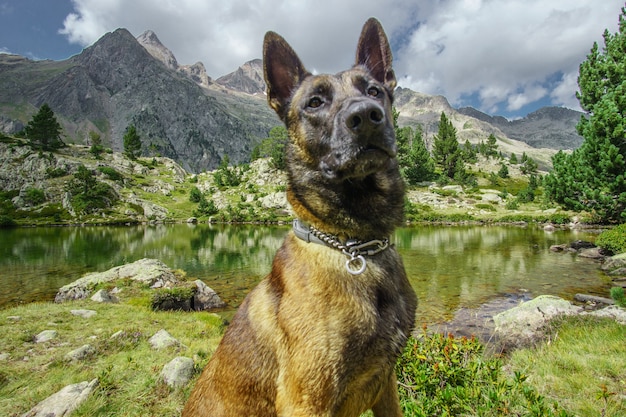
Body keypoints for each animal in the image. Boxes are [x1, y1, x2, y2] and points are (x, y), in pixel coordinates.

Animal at [180, 17, 414, 414]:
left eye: (374, 90)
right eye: (314, 102)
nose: (366, 116)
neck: (355, 245)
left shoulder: (386, 384)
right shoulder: (307, 397)